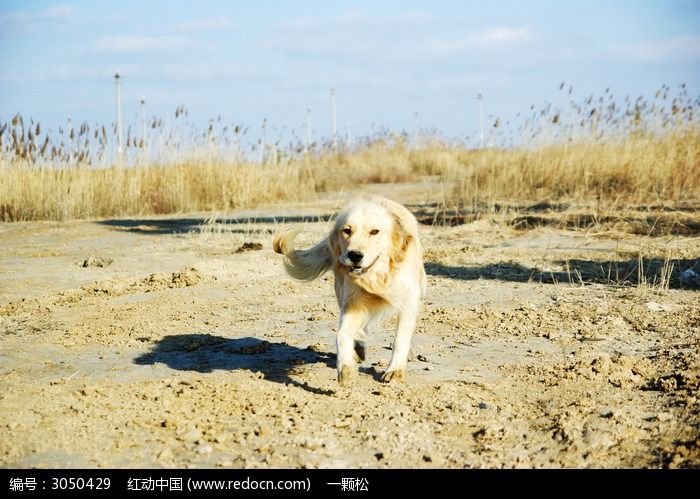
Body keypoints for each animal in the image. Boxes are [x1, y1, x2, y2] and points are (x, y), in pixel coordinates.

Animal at [274, 196, 426, 386]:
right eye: (347, 231)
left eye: (374, 231)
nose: (354, 255)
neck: (377, 277)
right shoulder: (353, 303)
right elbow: (342, 335)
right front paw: (346, 368)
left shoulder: (409, 299)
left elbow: (400, 338)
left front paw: (395, 371)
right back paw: (358, 349)